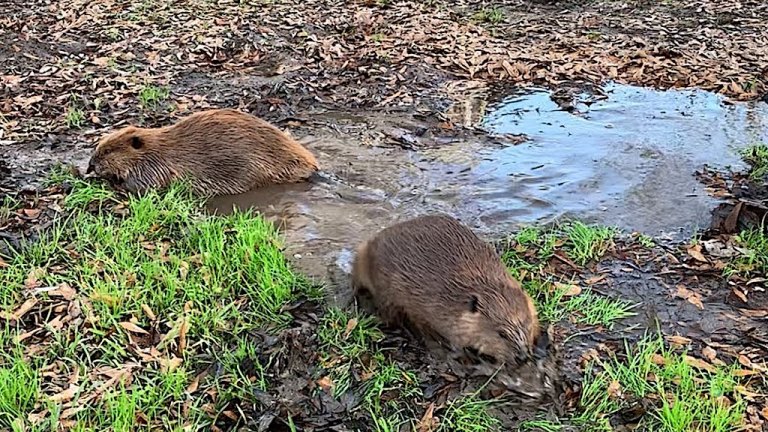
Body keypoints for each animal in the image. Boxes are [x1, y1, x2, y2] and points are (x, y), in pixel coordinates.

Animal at [86, 108, 318, 196]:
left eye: (108, 150)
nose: (90, 165)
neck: (155, 149)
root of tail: (313, 168)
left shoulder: (154, 168)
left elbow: (141, 186)